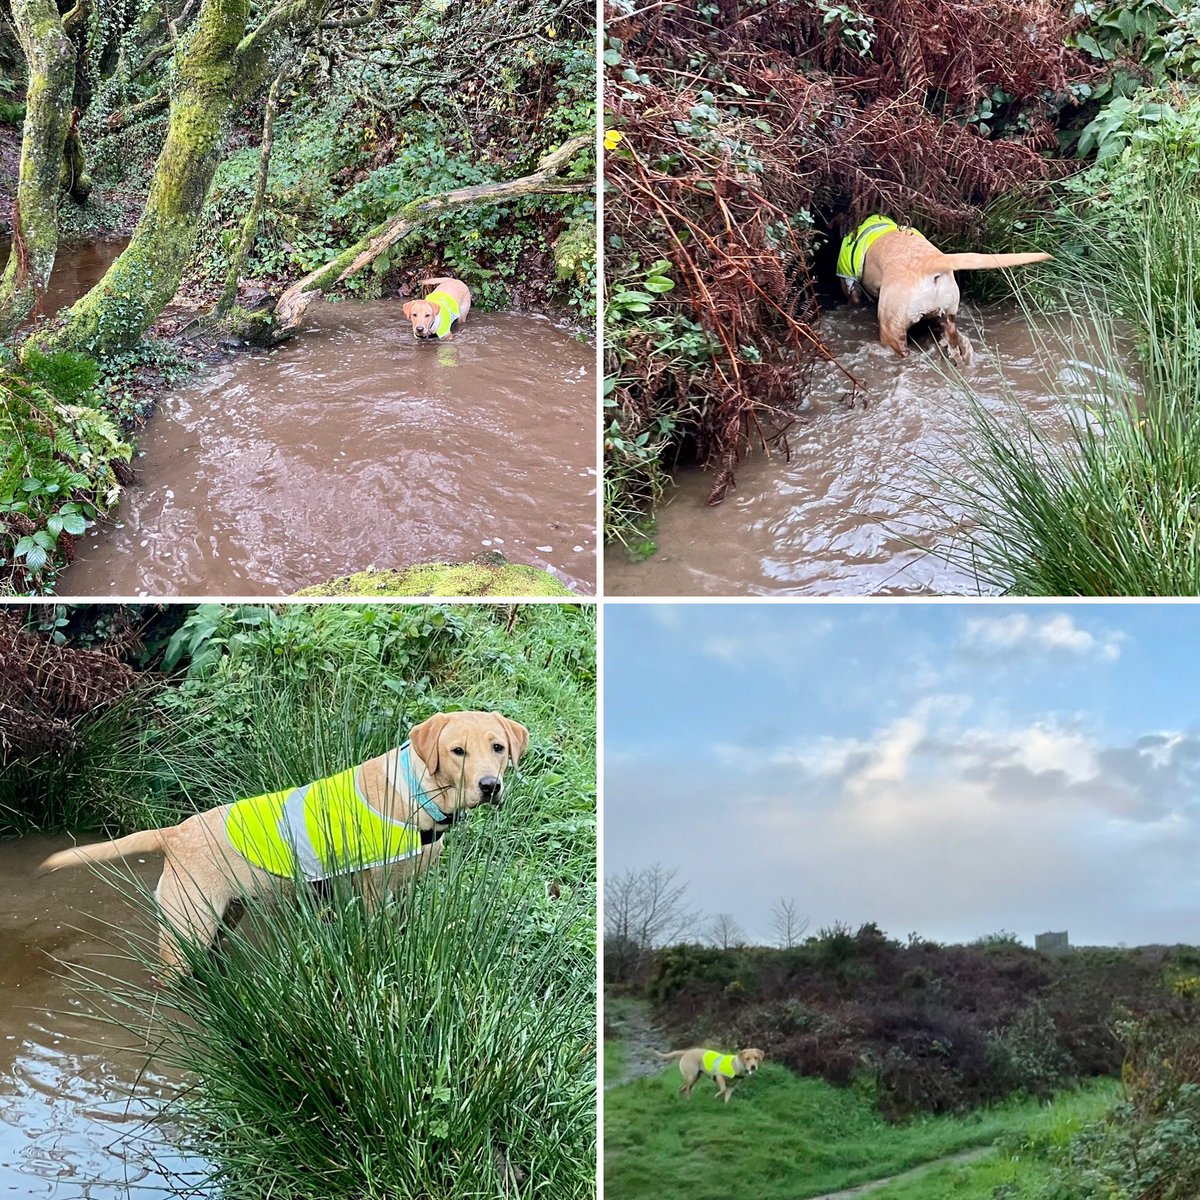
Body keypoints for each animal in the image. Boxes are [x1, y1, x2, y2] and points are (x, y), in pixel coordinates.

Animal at [38, 710, 525, 974]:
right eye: (458, 751)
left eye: (498, 747)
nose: (489, 786)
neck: (416, 790)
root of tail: (174, 833)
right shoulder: (372, 894)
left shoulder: (407, 889)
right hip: (188, 927)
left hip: (223, 916)